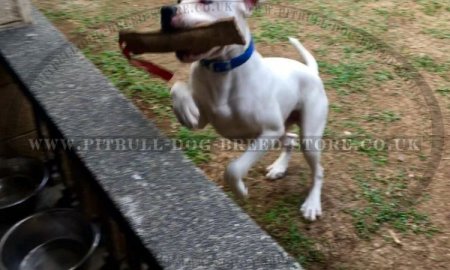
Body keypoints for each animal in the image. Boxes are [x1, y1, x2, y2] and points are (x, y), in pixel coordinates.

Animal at [167, 0, 328, 220]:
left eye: (207, 2)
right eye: (178, 1)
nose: (167, 10)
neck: (222, 70)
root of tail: (311, 71)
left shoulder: (269, 131)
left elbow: (234, 168)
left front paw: (240, 191)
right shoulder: (205, 120)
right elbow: (178, 87)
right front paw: (184, 110)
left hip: (308, 139)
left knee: (318, 169)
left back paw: (312, 204)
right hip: (284, 129)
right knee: (290, 139)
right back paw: (279, 168)